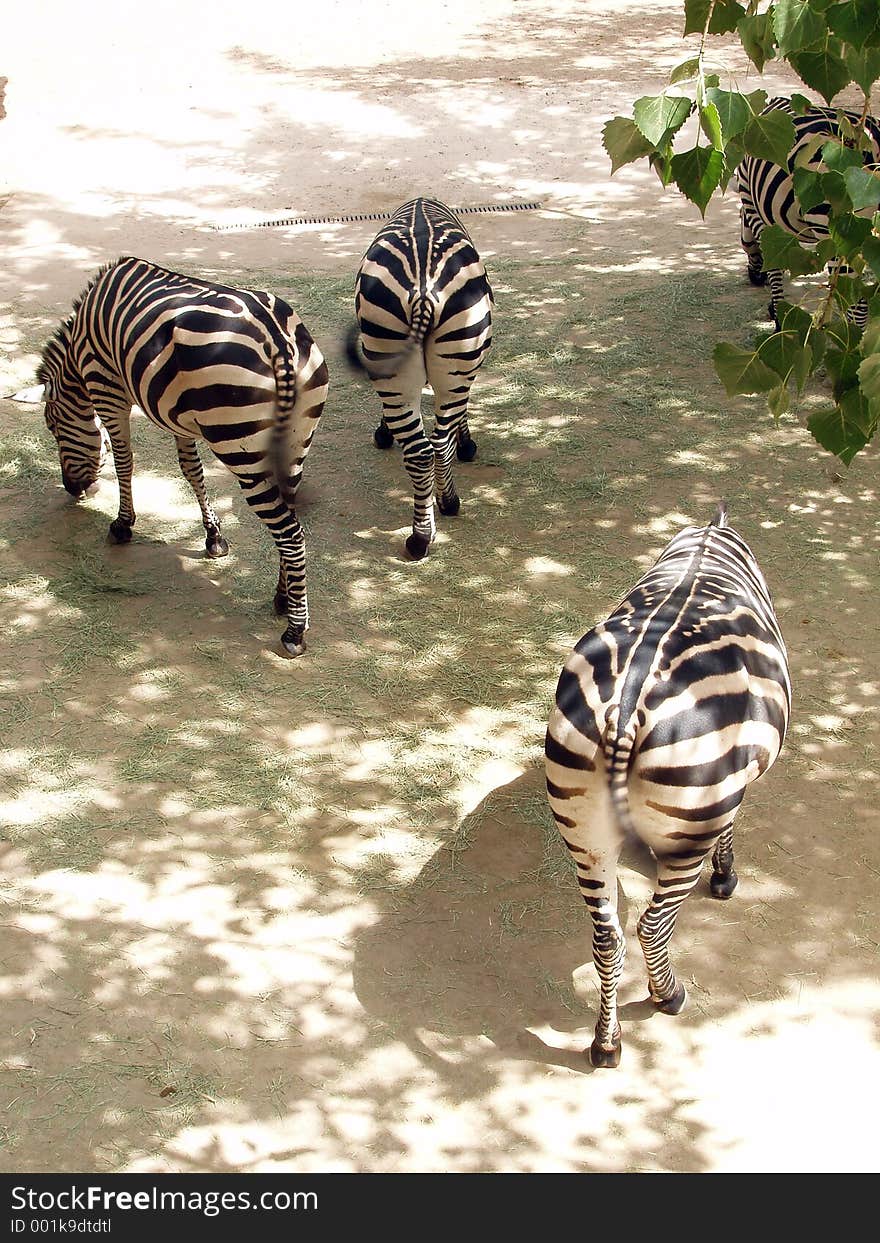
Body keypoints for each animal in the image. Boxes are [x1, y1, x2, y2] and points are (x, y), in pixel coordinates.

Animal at [37, 254, 330, 661]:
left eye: (52, 427)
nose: (71, 489)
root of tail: (279, 341)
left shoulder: (108, 389)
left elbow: (124, 461)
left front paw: (123, 524)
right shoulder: (176, 412)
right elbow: (191, 471)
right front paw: (213, 536)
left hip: (240, 447)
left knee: (290, 532)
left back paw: (295, 630)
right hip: (294, 443)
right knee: (290, 516)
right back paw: (282, 599)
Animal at [345, 195, 494, 559]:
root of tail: (424, 289)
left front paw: (383, 432)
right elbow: (461, 416)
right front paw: (467, 442)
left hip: (391, 352)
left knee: (422, 451)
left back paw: (420, 536)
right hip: (454, 361)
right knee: (439, 444)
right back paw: (447, 505)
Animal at [546, 504, 795, 1068]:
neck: (708, 539)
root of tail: (624, 712)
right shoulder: (730, 789)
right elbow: (730, 831)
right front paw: (726, 876)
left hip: (586, 836)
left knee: (607, 938)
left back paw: (606, 1043)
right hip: (692, 819)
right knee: (651, 925)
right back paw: (669, 996)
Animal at [735, 95, 879, 325]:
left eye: (742, 221)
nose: (755, 277)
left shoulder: (754, 209)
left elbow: (775, 267)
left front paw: (778, 315)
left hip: (838, 233)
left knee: (856, 306)